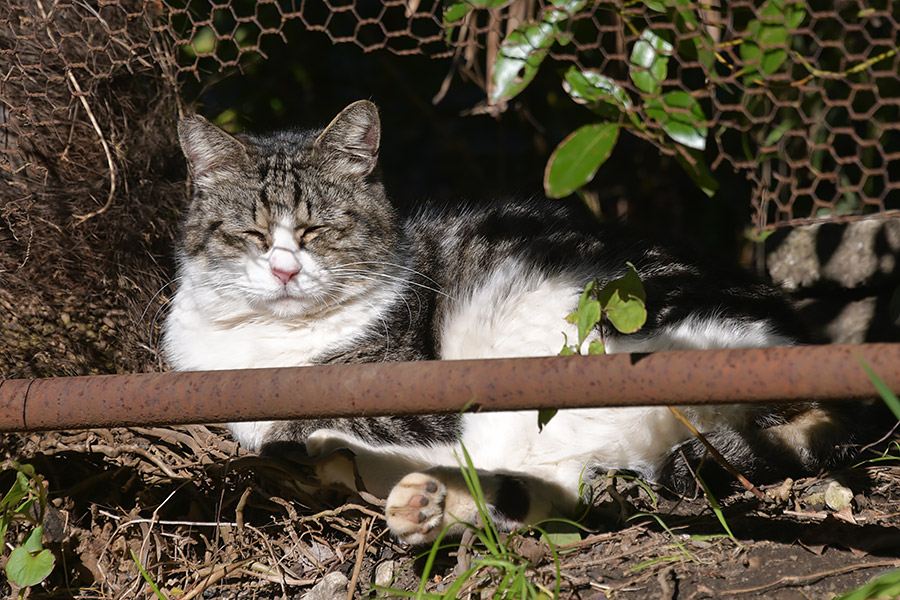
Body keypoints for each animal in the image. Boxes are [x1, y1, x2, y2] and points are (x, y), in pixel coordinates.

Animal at [162, 101, 852, 548]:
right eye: (250, 234)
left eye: (316, 230)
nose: (283, 270)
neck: (270, 345)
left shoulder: (412, 395)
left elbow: (280, 424)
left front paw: (300, 444)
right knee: (549, 491)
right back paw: (420, 507)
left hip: (560, 339)